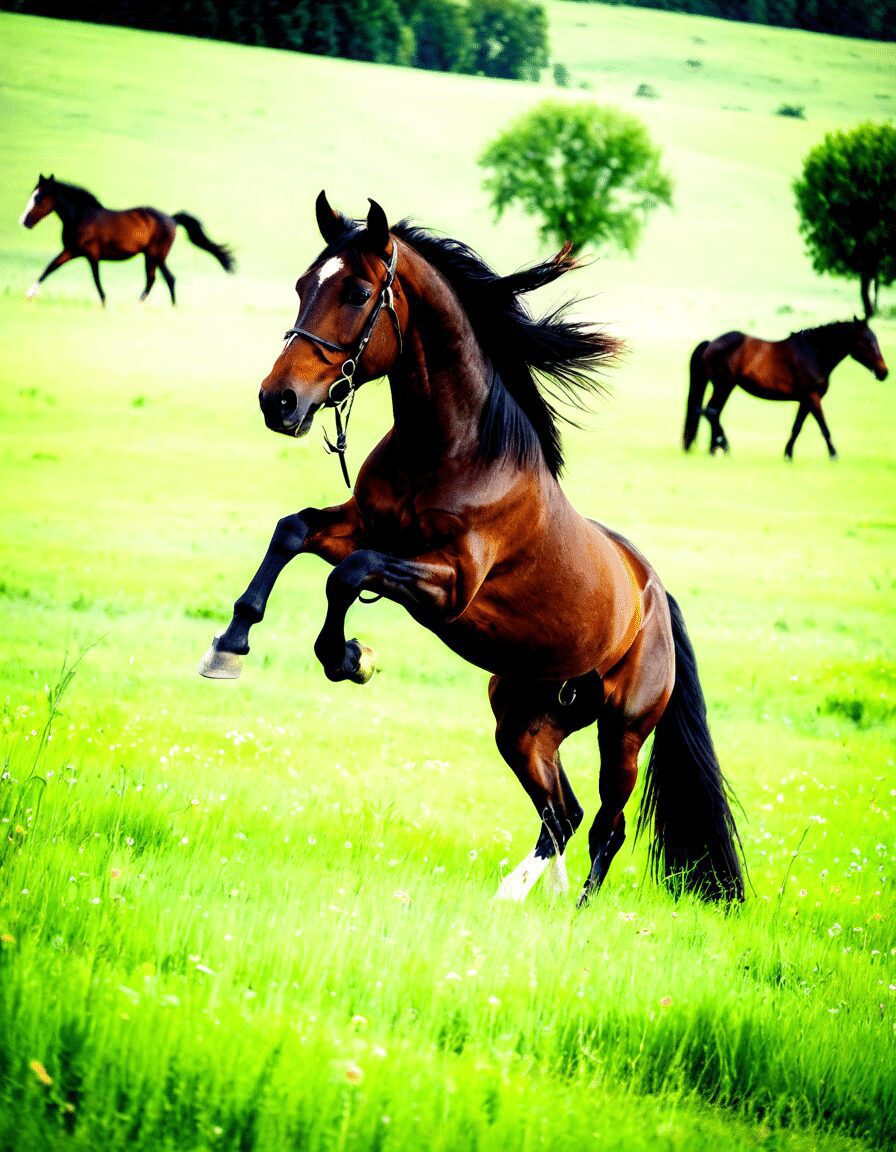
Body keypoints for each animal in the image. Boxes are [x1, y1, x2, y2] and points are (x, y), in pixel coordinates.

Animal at [19, 174, 235, 306]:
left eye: (38, 198)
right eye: (32, 195)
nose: (24, 222)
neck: (81, 217)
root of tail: (172, 219)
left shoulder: (91, 255)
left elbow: (96, 279)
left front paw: (104, 303)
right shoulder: (71, 251)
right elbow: (49, 268)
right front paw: (29, 295)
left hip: (157, 255)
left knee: (168, 278)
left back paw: (165, 307)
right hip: (150, 256)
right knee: (154, 279)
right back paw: (141, 305)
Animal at [199, 192, 745, 907]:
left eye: (357, 292)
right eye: (302, 285)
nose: (278, 401)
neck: (453, 450)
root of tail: (653, 592)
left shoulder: (447, 581)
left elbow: (348, 576)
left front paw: (351, 658)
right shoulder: (361, 524)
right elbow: (292, 532)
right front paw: (229, 645)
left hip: (623, 731)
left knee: (606, 825)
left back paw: (576, 911)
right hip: (522, 720)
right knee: (561, 813)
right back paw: (515, 896)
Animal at [683, 319, 888, 460]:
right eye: (868, 342)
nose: (884, 372)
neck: (814, 354)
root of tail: (710, 343)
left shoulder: (806, 400)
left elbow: (797, 427)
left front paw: (788, 454)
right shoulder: (813, 397)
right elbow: (823, 427)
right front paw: (834, 455)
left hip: (724, 387)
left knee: (713, 412)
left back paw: (714, 450)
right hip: (724, 385)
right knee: (711, 411)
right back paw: (724, 447)